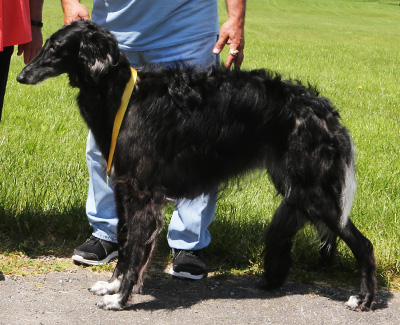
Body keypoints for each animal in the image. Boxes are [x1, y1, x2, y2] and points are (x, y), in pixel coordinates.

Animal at [17, 19, 376, 308]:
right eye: (47, 43)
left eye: (56, 46)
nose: (21, 75)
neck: (123, 95)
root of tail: (323, 108)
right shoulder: (123, 188)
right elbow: (124, 240)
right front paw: (112, 286)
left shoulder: (143, 194)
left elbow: (134, 252)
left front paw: (120, 299)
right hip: (297, 188)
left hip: (315, 192)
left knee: (364, 245)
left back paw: (364, 298)